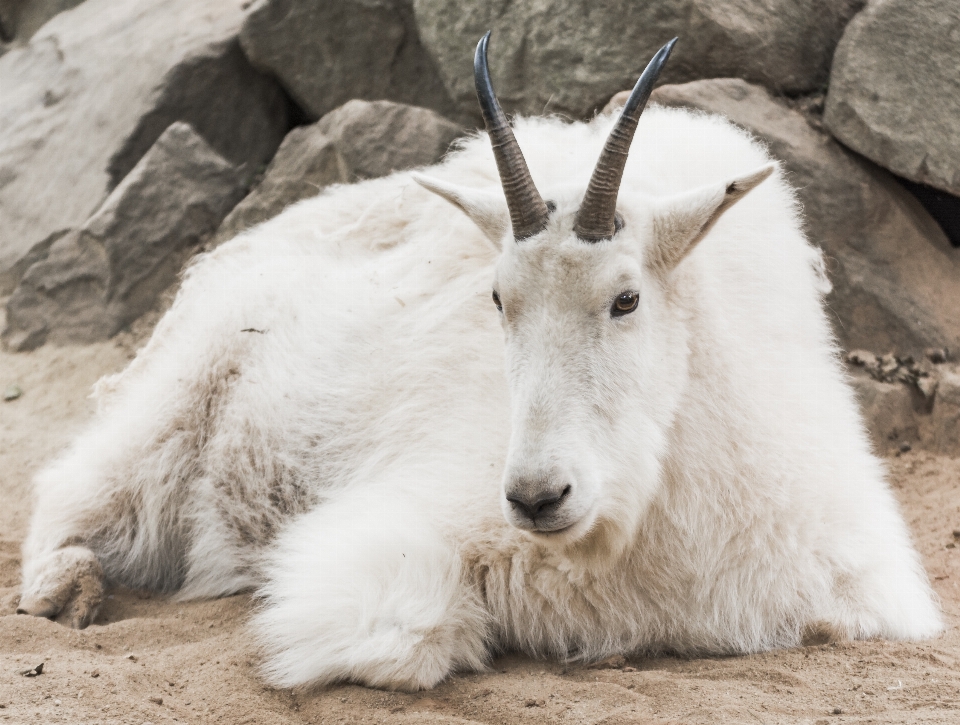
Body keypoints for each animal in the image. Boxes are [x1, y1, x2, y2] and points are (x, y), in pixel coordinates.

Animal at [18, 35, 940, 692]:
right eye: (497, 299)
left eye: (627, 298)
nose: (537, 496)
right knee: (68, 493)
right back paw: (69, 590)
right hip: (170, 415)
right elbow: (402, 635)